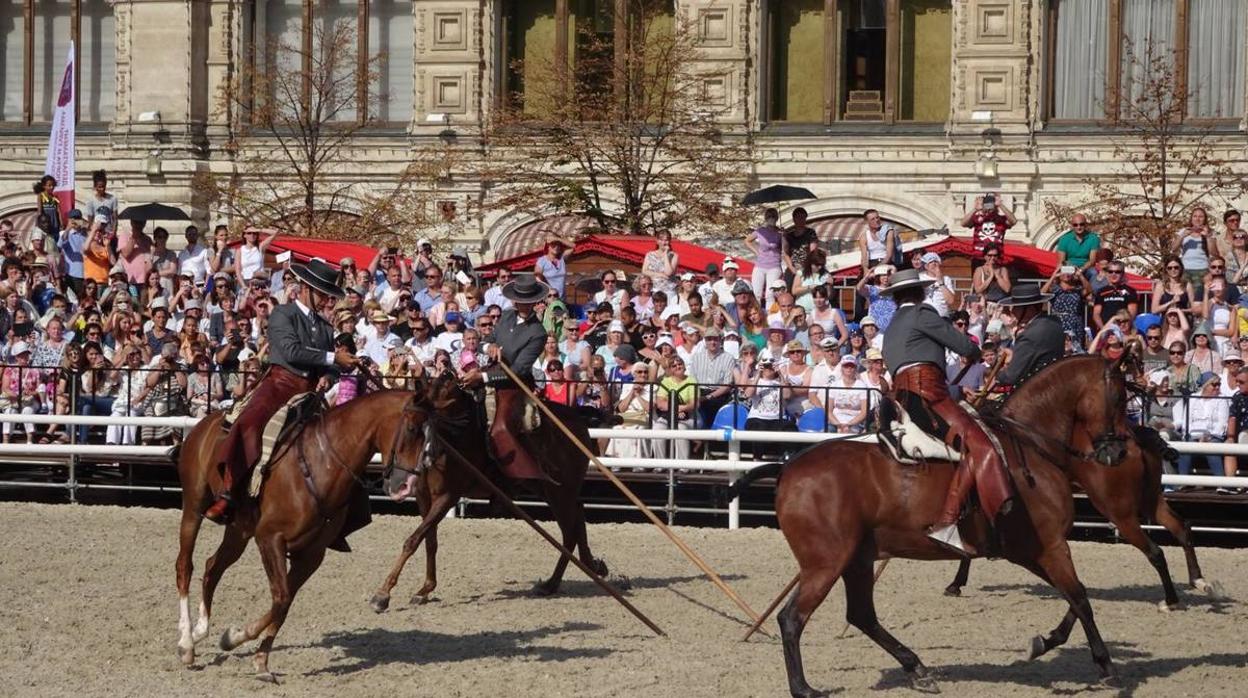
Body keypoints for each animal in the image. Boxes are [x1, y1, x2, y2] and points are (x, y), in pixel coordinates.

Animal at [173, 387, 429, 679]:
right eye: (411, 429)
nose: (407, 485)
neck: (321, 464)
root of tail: (205, 423)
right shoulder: (269, 539)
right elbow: (281, 598)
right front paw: (235, 637)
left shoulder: (311, 554)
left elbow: (283, 605)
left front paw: (257, 657)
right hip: (194, 505)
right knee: (185, 566)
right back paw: (186, 643)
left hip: (239, 530)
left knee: (213, 567)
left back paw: (200, 630)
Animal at [366, 374, 606, 614]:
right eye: (399, 424)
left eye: (413, 428)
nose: (398, 482)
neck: (454, 438)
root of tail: (579, 423)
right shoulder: (424, 498)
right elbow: (429, 540)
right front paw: (425, 588)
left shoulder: (447, 496)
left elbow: (413, 540)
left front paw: (382, 595)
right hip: (550, 489)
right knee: (578, 514)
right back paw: (591, 565)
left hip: (560, 493)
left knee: (569, 533)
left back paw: (552, 583)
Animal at [728, 357, 1143, 694]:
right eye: (1120, 398)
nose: (1119, 451)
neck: (1027, 446)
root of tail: (788, 469)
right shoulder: (1050, 546)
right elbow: (1081, 598)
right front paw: (1104, 665)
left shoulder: (1035, 551)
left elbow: (1075, 597)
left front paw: (1048, 641)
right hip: (826, 564)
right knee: (793, 618)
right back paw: (804, 687)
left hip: (856, 560)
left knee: (861, 615)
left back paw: (916, 668)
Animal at [943, 424, 1218, 609]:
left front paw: (955, 583)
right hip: (1149, 500)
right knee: (1181, 527)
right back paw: (1199, 581)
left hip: (1119, 511)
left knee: (1155, 550)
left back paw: (1171, 599)